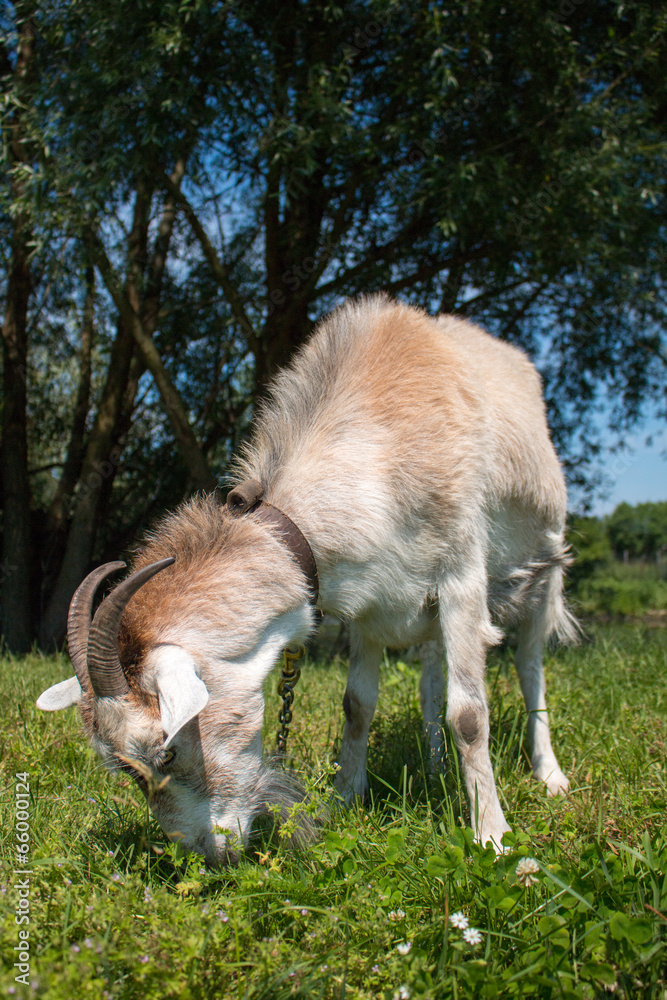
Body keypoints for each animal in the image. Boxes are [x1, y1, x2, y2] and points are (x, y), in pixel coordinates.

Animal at [37, 292, 580, 864]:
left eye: (164, 752)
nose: (211, 855)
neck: (379, 444)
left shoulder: (461, 579)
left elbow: (471, 716)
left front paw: (493, 838)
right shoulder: (370, 602)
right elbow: (357, 706)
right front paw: (344, 802)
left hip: (543, 569)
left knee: (530, 666)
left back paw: (549, 775)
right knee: (432, 672)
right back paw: (434, 765)